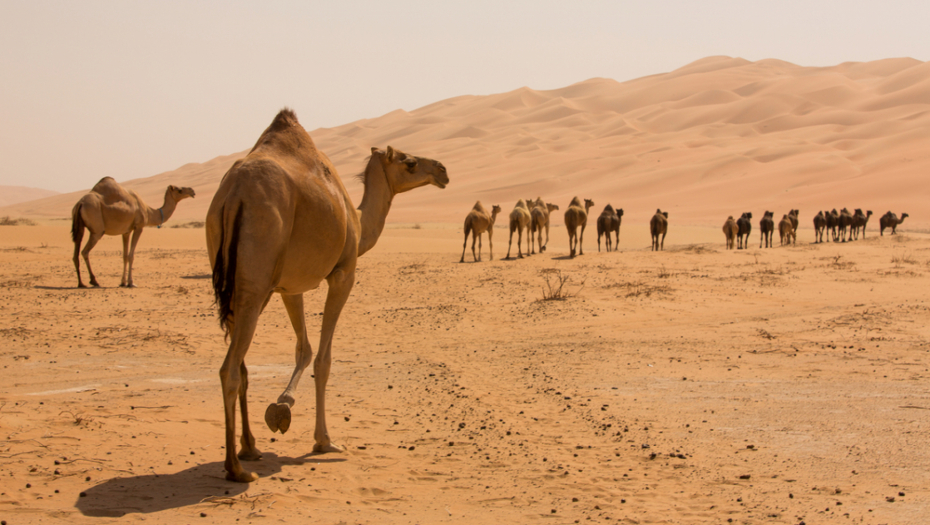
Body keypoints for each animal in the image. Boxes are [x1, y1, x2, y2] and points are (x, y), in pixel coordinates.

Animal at [206, 108, 450, 482]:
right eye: (409, 162)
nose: (442, 170)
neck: (359, 221)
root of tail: (234, 195)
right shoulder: (343, 274)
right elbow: (323, 359)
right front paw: (324, 440)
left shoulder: (288, 286)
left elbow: (303, 348)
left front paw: (281, 408)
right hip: (255, 283)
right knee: (229, 370)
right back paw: (236, 469)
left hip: (238, 283)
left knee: (241, 364)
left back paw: (250, 448)